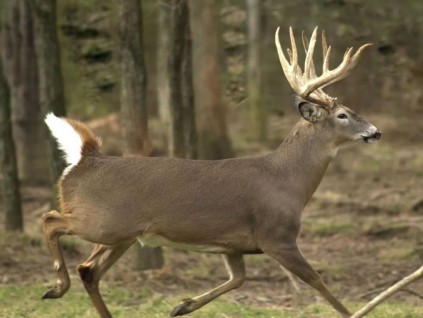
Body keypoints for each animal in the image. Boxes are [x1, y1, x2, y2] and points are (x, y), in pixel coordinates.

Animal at [41, 27, 382, 318]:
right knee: (51, 220)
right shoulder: (277, 236)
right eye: (342, 115)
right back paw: (56, 286)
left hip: (122, 235)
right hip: (104, 223)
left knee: (89, 270)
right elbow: (318, 282)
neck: (288, 182)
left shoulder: (233, 245)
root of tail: (85, 159)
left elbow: (238, 279)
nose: (376, 132)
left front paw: (182, 306)